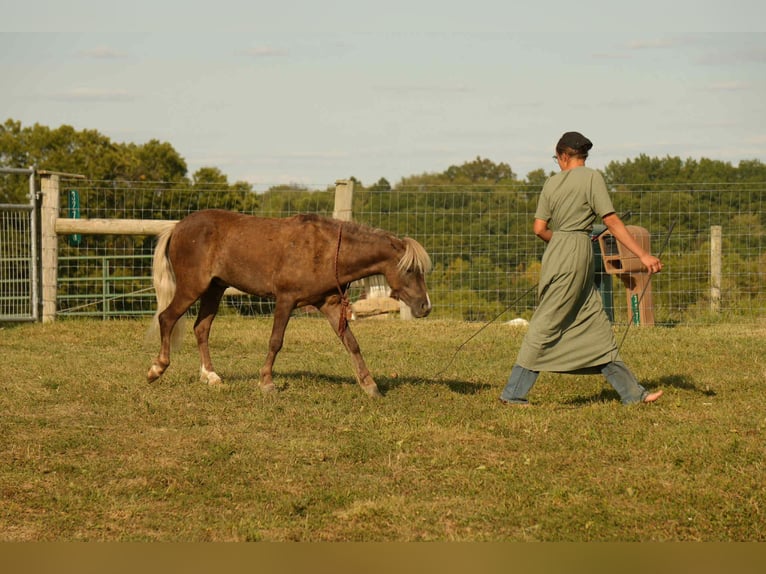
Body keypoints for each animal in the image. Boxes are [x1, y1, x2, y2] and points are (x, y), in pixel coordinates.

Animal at [146, 209, 432, 397]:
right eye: (409, 270)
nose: (425, 307)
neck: (326, 250)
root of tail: (177, 227)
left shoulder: (330, 306)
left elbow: (351, 343)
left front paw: (370, 385)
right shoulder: (286, 299)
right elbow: (276, 341)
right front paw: (266, 382)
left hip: (214, 289)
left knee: (201, 328)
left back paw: (211, 376)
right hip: (191, 288)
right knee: (167, 318)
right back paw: (157, 369)